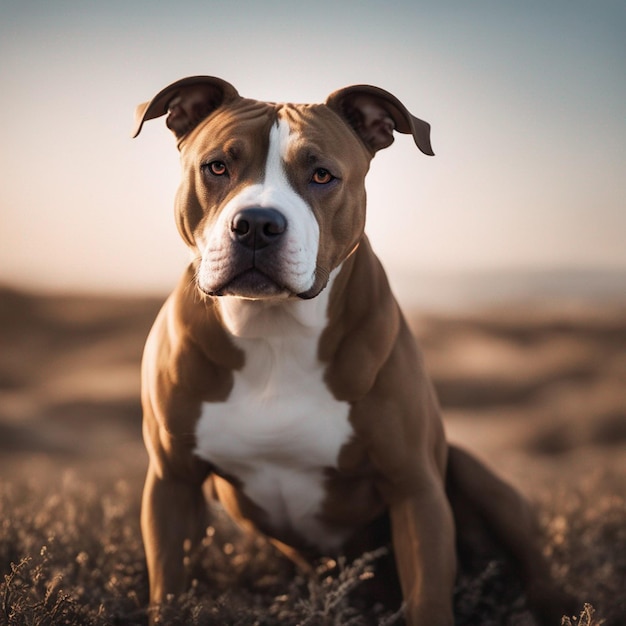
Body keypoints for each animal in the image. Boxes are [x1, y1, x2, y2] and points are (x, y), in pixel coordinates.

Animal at [132, 75, 572, 620]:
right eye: (217, 166)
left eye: (322, 175)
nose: (256, 224)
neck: (275, 333)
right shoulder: (171, 481)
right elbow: (169, 587)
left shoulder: (414, 487)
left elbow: (428, 598)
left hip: (473, 474)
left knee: (534, 564)